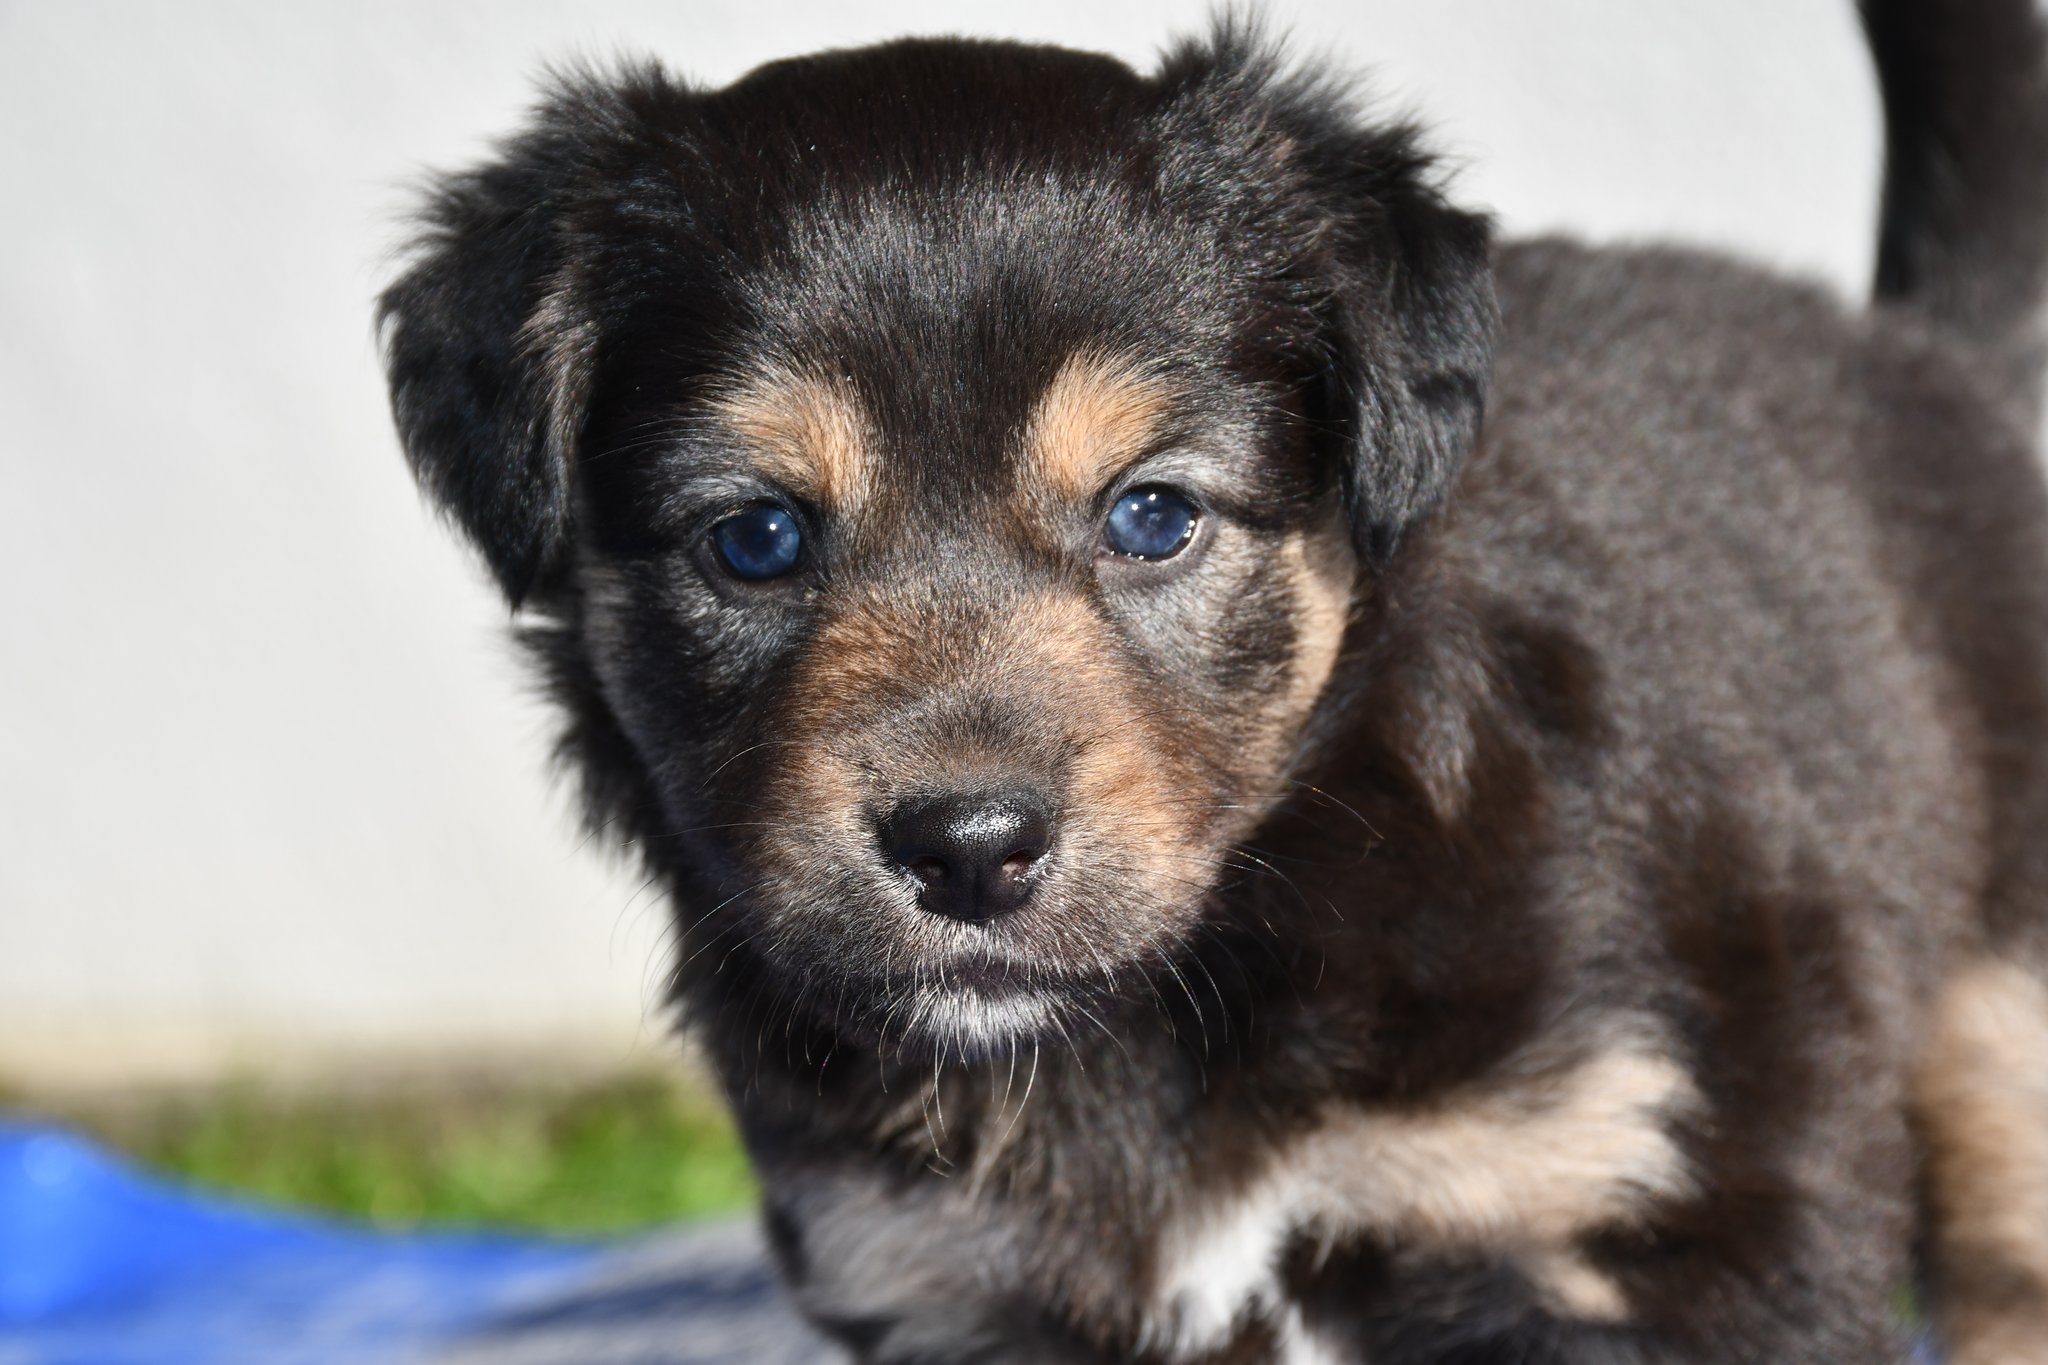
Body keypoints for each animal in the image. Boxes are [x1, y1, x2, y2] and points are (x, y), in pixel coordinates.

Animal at [377, 3, 2048, 1360]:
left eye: (1152, 514)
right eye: (755, 538)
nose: (967, 850)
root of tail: (1928, 357)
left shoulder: (1682, 1205)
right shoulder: (958, 1282)